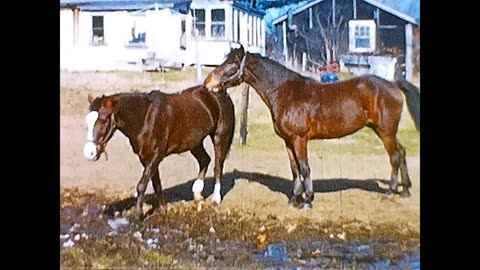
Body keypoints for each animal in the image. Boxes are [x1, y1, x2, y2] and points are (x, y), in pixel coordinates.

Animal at [83, 86, 236, 219]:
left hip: (220, 137)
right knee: (204, 160)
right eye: (87, 121)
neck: (145, 118)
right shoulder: (146, 158)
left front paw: (138, 215)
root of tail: (221, 93)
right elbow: (156, 183)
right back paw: (197, 194)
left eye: (103, 120)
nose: (89, 153)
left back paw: (216, 198)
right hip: (194, 142)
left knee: (218, 165)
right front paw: (163, 208)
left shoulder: (155, 156)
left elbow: (142, 185)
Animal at [204, 45, 418, 209]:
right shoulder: (288, 141)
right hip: (384, 130)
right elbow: (295, 169)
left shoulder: (300, 140)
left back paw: (390, 192)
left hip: (385, 132)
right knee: (402, 151)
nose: (208, 82)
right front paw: (295, 199)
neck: (286, 93)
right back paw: (406, 190)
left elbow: (305, 168)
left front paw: (307, 199)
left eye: (232, 63)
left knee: (395, 156)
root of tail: (392, 85)